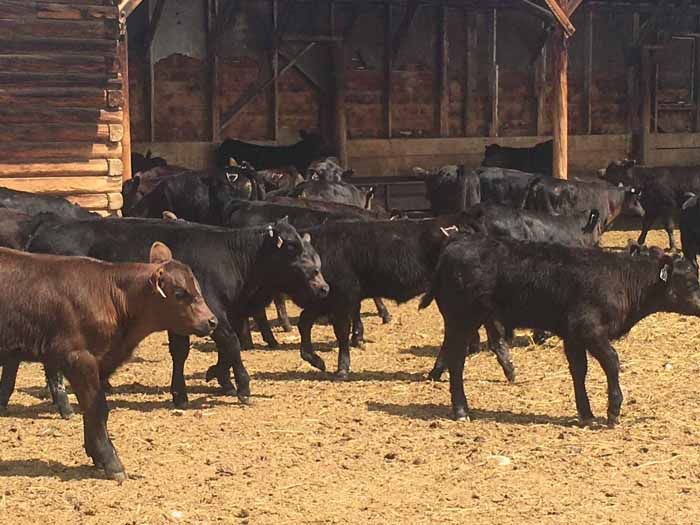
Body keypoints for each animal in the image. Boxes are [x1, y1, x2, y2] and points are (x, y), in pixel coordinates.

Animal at [0, 242, 216, 480]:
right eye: (179, 293)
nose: (212, 321)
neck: (109, 297)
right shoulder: (79, 358)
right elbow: (97, 409)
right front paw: (111, 461)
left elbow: (91, 409)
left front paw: (96, 456)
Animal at [22, 216, 329, 411]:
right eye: (293, 247)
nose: (324, 287)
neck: (233, 259)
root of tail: (40, 234)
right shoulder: (214, 313)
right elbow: (230, 343)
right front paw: (241, 387)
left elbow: (188, 352)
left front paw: (200, 384)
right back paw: (63, 402)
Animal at [420, 234, 700, 424]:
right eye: (689, 281)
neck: (621, 280)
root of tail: (455, 245)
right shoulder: (589, 330)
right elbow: (612, 362)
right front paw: (612, 411)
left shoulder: (573, 337)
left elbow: (579, 371)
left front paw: (586, 413)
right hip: (462, 320)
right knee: (457, 362)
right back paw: (461, 410)